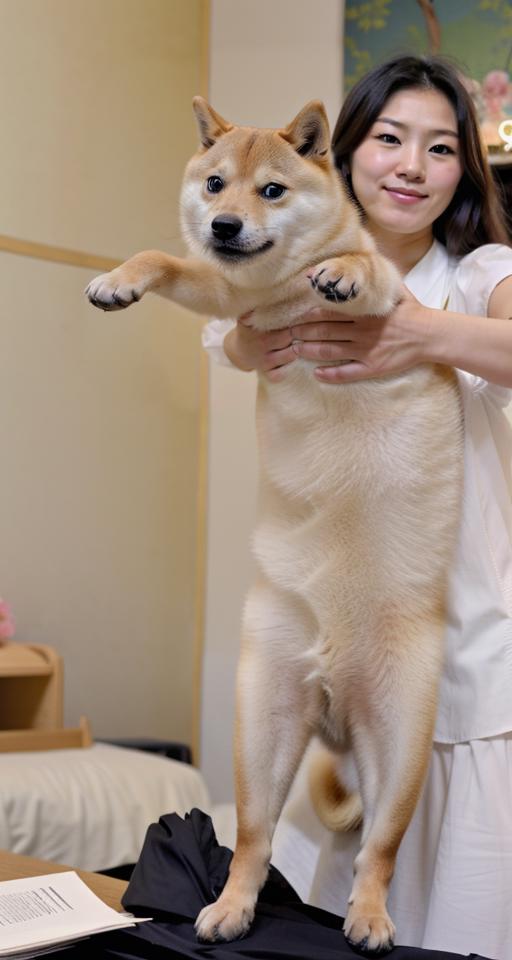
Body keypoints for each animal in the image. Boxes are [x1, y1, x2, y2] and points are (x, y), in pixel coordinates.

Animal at [88, 97, 464, 952]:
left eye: (272, 190)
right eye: (214, 184)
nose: (224, 225)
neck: (285, 284)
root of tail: (335, 694)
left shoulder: (390, 304)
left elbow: (371, 273)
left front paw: (346, 270)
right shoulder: (231, 303)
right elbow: (167, 260)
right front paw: (119, 281)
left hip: (402, 747)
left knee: (377, 851)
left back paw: (368, 917)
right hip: (263, 726)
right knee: (255, 840)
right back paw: (229, 907)